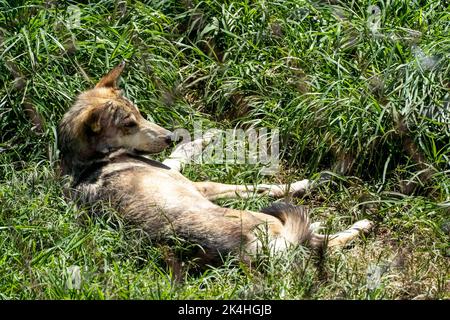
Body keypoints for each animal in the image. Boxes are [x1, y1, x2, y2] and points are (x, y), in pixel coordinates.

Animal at [57, 61, 372, 266]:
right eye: (129, 124)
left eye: (140, 114)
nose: (169, 136)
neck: (90, 161)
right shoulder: (199, 184)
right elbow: (267, 186)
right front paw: (315, 180)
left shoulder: (176, 166)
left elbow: (186, 150)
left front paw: (205, 136)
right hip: (264, 219)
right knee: (325, 242)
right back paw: (361, 225)